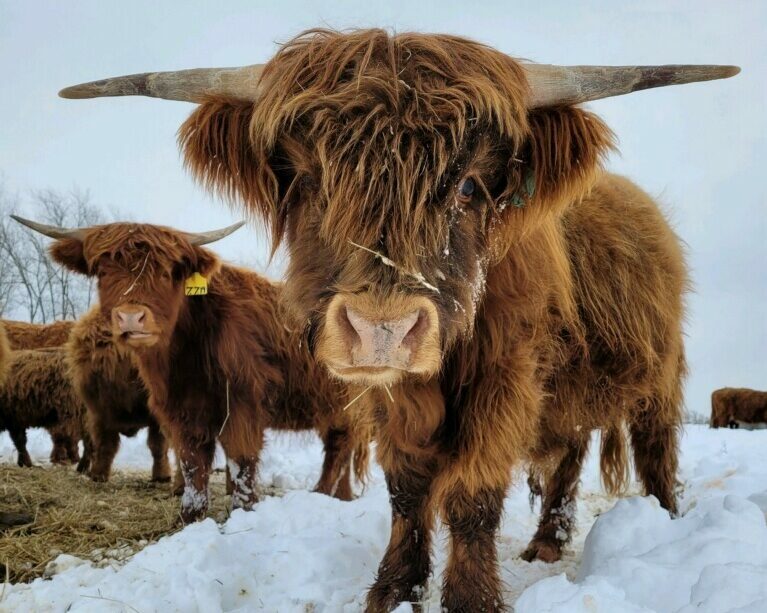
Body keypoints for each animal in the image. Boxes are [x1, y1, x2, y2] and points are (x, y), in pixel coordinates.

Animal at [52, 28, 736, 612]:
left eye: (467, 187)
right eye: (308, 181)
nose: (383, 328)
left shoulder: (507, 379)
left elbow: (472, 495)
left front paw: (470, 598)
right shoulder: (386, 398)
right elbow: (407, 490)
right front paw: (394, 588)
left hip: (660, 380)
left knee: (655, 452)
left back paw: (664, 521)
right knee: (566, 459)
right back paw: (545, 543)